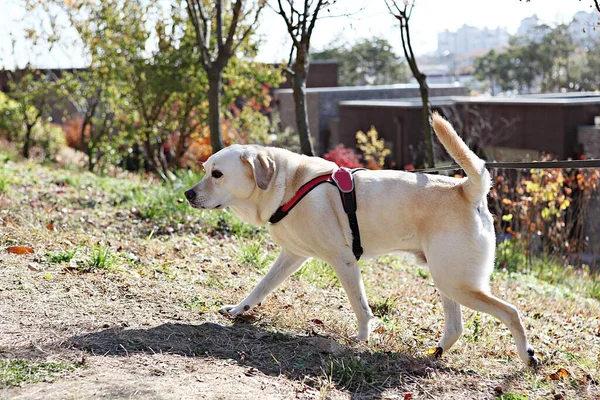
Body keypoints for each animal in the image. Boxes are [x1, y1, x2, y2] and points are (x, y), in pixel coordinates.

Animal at [184, 114, 540, 368]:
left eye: (217, 174)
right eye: (204, 169)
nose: (187, 194)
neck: (289, 185)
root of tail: (465, 189)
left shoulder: (343, 260)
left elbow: (360, 306)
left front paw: (362, 338)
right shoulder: (292, 255)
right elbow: (261, 286)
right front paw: (238, 310)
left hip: (457, 282)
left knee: (511, 312)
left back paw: (527, 356)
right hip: (446, 279)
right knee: (456, 326)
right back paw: (435, 352)